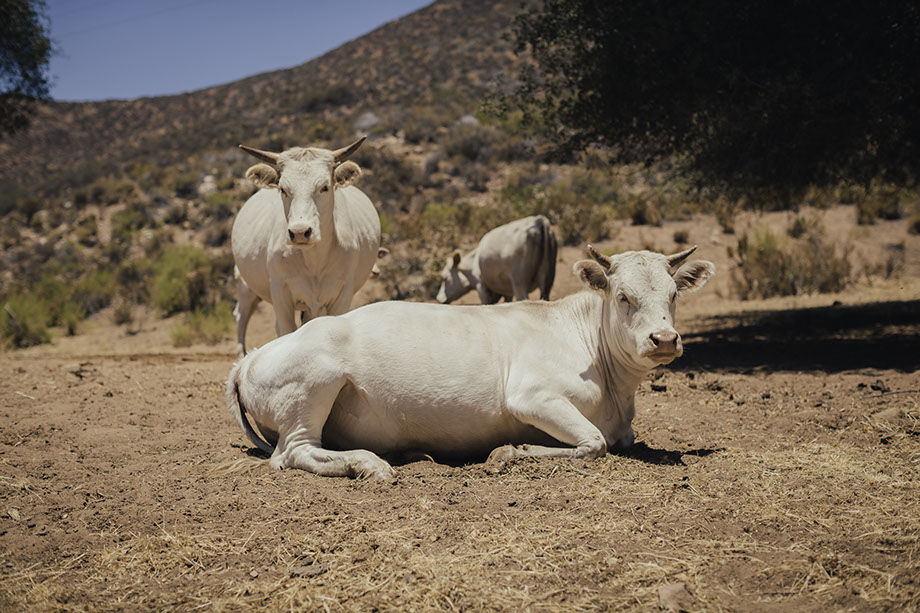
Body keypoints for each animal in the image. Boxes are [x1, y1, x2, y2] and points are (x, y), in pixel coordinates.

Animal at [226, 245, 714, 480]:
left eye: (674, 294)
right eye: (623, 296)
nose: (664, 339)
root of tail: (250, 358)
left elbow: (615, 441)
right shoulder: (531, 396)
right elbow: (595, 443)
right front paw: (509, 452)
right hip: (314, 385)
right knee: (294, 453)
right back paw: (368, 464)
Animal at [231, 136, 380, 356]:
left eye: (325, 187)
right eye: (283, 189)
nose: (300, 232)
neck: (314, 259)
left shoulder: (342, 295)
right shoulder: (281, 294)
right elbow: (286, 331)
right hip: (246, 287)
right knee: (242, 316)